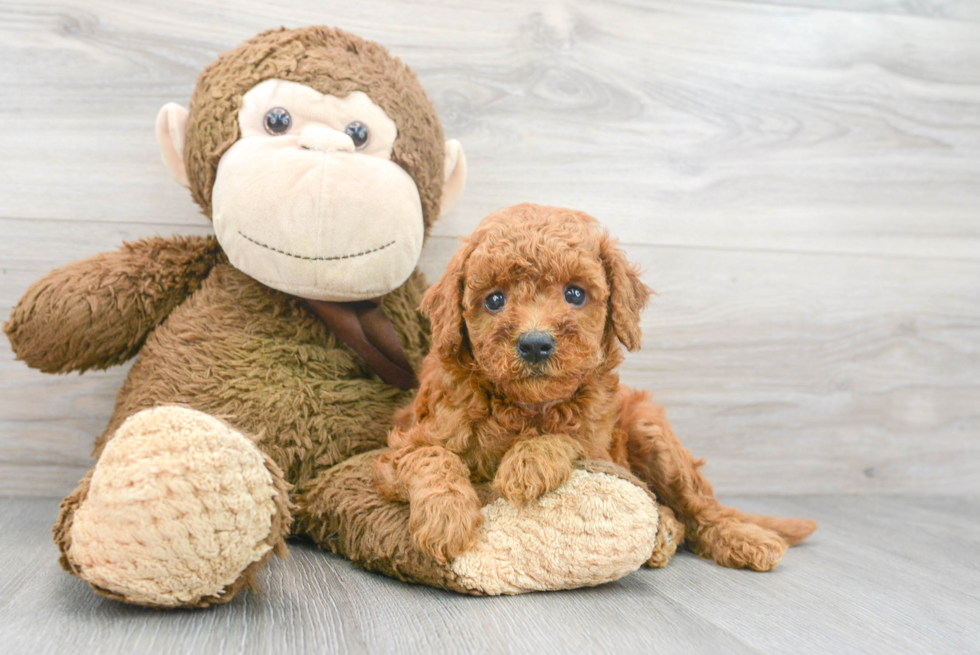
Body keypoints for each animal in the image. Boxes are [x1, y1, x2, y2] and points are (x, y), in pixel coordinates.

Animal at [372, 204, 816, 568]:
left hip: (650, 431)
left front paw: (527, 462)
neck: (525, 406)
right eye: (494, 300)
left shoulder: (598, 444)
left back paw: (741, 538)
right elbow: (431, 457)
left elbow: (566, 437)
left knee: (699, 507)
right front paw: (446, 519)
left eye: (574, 293)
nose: (535, 343)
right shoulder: (399, 449)